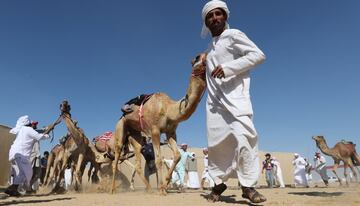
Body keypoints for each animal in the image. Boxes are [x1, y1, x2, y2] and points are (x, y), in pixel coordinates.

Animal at [109, 53, 207, 195]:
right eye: (198, 57)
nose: (206, 56)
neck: (168, 109)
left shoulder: (171, 132)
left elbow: (177, 156)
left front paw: (165, 185)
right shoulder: (155, 131)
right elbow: (159, 159)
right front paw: (161, 189)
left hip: (135, 134)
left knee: (137, 161)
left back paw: (149, 189)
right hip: (120, 128)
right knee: (116, 157)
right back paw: (112, 190)